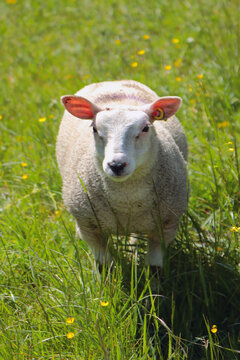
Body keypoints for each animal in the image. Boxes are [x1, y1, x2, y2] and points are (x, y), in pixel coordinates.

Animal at [55, 80, 188, 268]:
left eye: (146, 128)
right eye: (94, 129)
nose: (116, 165)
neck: (127, 200)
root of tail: (111, 82)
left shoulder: (166, 225)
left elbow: (154, 267)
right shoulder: (89, 227)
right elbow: (104, 266)